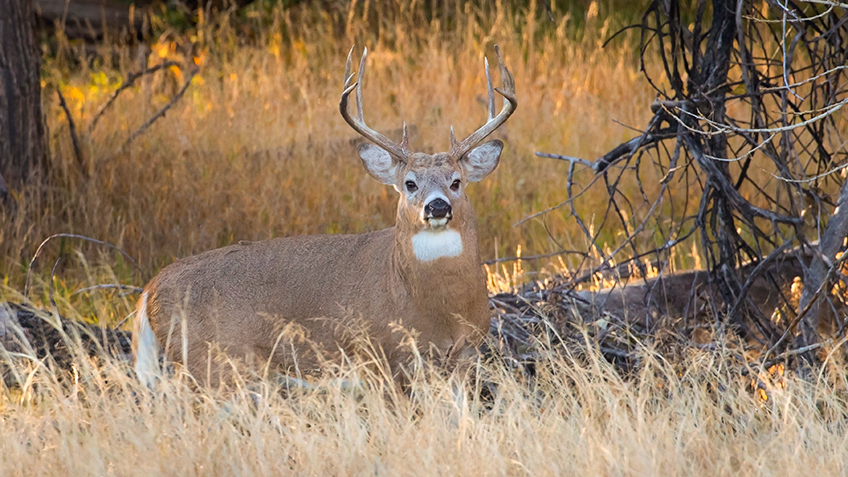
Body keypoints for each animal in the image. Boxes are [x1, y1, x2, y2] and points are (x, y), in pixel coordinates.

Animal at [132, 45, 516, 386]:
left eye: (456, 181)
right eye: (409, 183)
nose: (437, 207)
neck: (440, 307)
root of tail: (150, 290)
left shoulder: (466, 353)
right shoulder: (380, 353)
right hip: (212, 361)